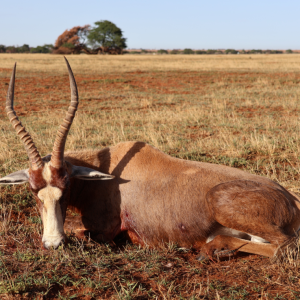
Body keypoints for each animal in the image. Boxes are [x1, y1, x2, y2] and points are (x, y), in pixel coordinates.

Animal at [0, 58, 300, 260]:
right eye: (33, 191)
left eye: (66, 188)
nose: (53, 243)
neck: (107, 174)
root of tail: (290, 199)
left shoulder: (107, 229)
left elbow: (82, 231)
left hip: (222, 203)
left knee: (284, 246)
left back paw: (210, 249)